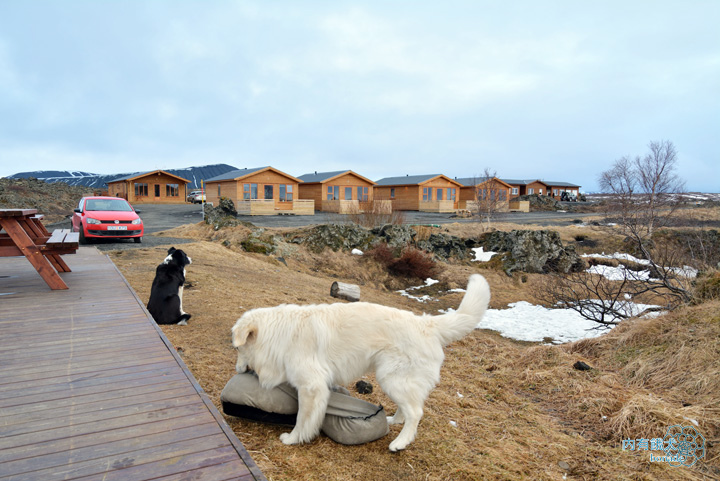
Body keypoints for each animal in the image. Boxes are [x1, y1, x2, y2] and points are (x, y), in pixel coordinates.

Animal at [231, 274, 490, 450]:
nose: (237, 369)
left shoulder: (311, 388)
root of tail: (427, 324)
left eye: (237, 349)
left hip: (392, 378)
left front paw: (294, 438)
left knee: (416, 412)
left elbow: (302, 418)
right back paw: (394, 421)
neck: (280, 334)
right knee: (407, 408)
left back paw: (400, 443)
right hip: (397, 381)